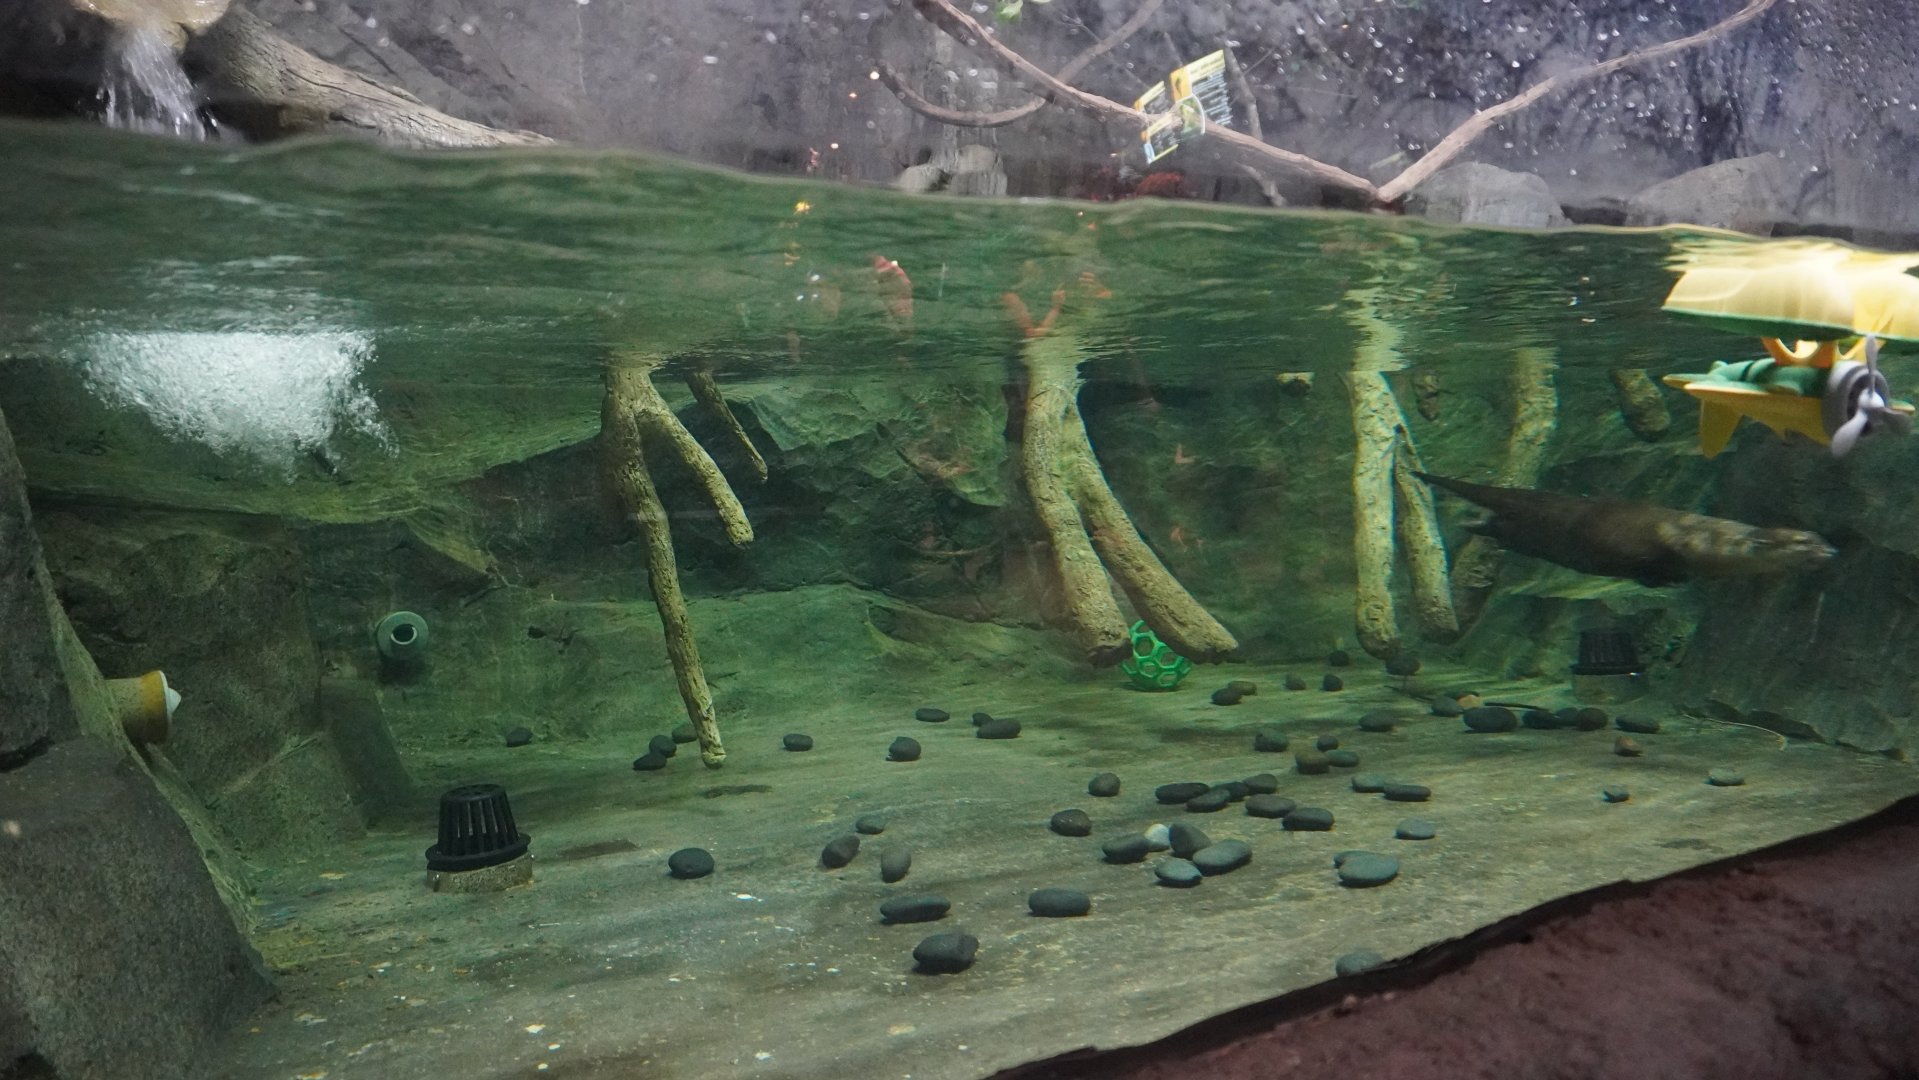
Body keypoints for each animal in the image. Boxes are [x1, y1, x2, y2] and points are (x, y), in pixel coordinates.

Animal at [1414, 473, 1835, 587]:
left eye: (1818, 537)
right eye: (1802, 542)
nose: (1831, 551)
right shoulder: (1665, 542)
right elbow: (1650, 559)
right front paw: (1666, 579)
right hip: (1533, 526)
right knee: (1498, 523)